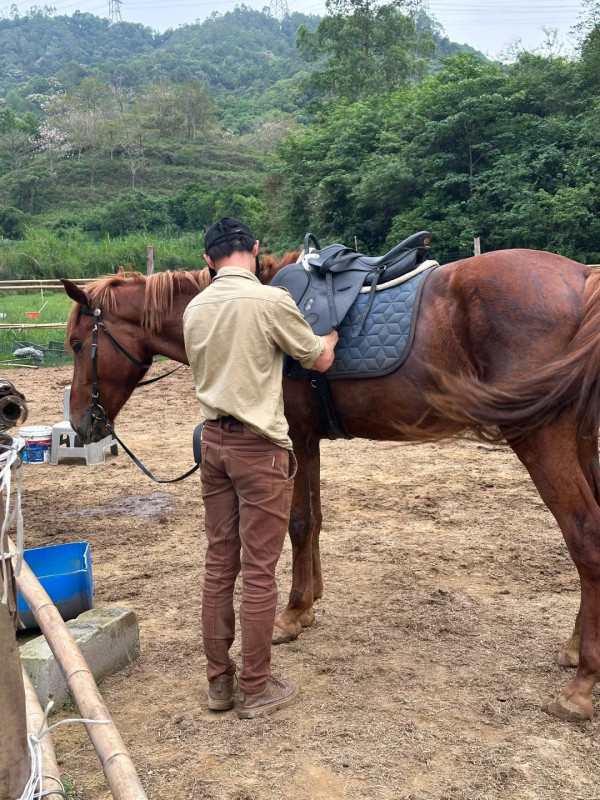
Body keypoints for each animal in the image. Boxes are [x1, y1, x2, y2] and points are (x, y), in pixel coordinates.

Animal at [61, 248, 600, 723]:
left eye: (77, 344)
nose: (82, 425)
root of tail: (581, 278)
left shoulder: (294, 437)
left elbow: (299, 523)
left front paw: (291, 613)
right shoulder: (309, 439)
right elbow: (315, 520)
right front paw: (309, 603)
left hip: (539, 438)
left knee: (585, 537)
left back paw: (579, 687)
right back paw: (575, 648)